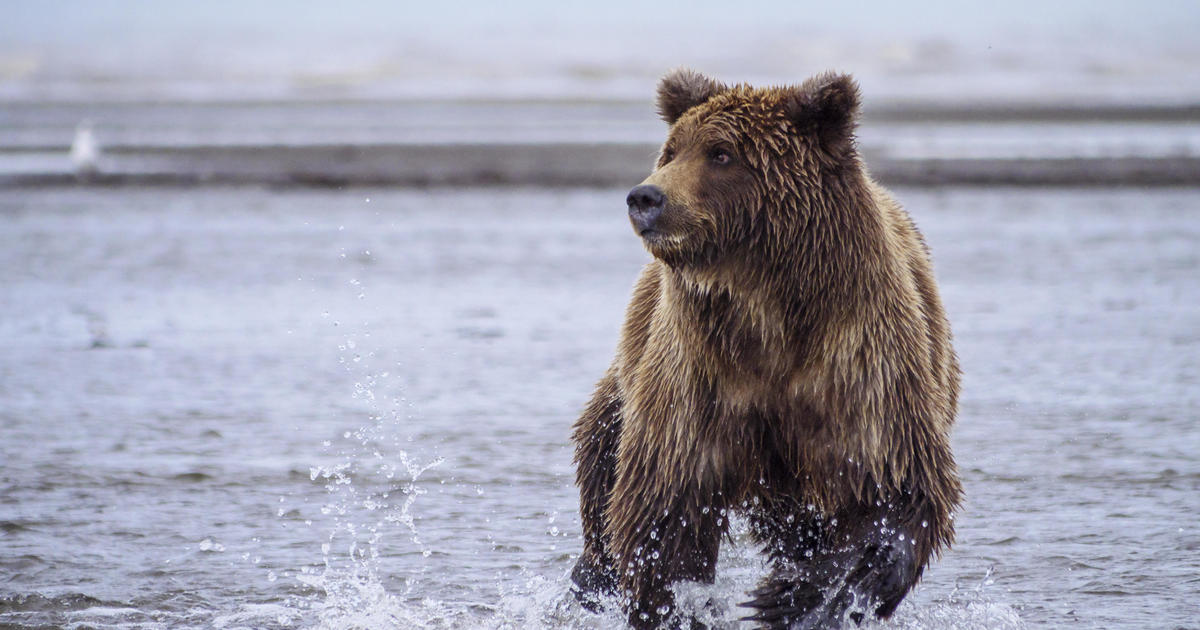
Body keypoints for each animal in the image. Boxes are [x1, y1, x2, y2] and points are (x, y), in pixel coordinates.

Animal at [571, 69, 964, 628]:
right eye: (672, 150)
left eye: (721, 153)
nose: (645, 197)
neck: (767, 314)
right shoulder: (701, 380)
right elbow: (663, 510)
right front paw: (677, 606)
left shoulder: (859, 366)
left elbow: (898, 495)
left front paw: (794, 596)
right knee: (602, 453)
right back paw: (590, 574)